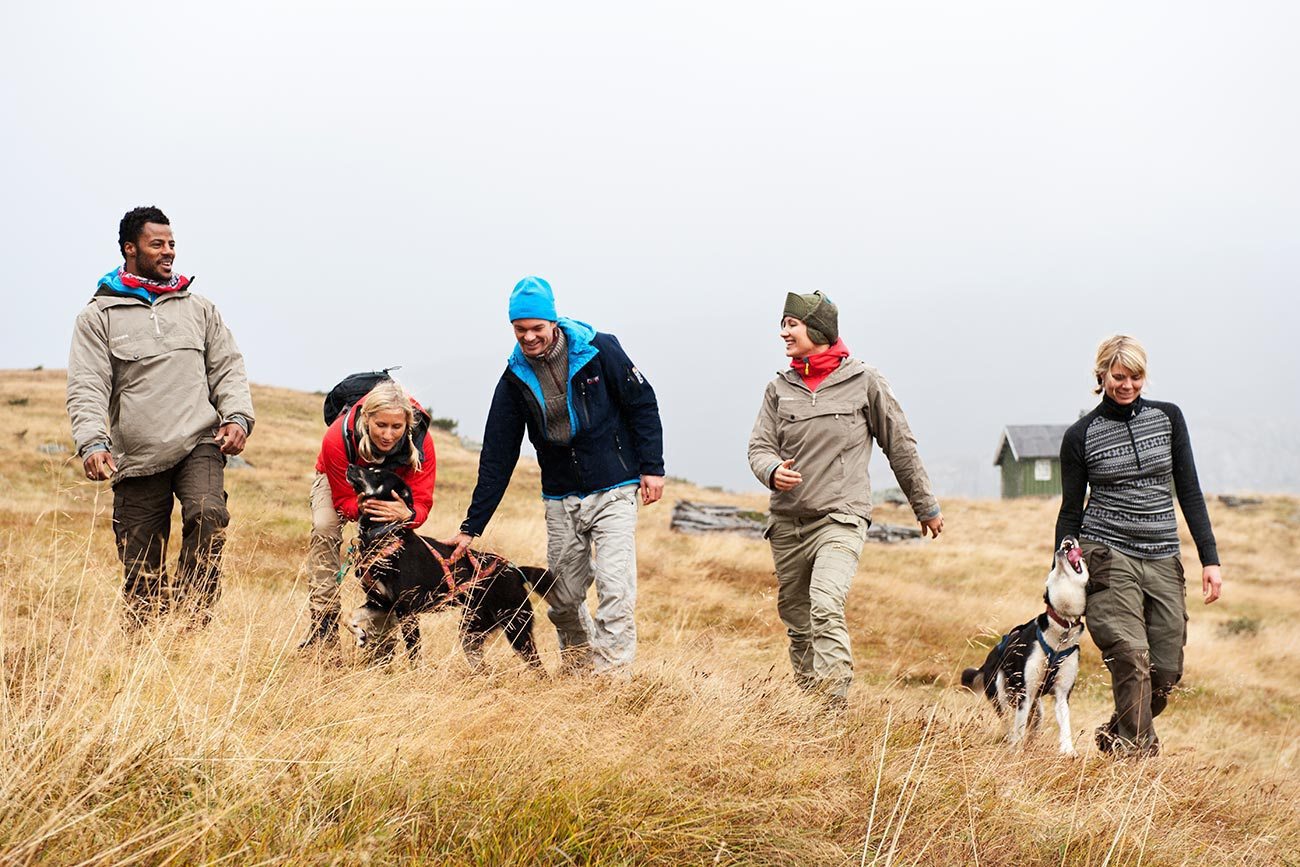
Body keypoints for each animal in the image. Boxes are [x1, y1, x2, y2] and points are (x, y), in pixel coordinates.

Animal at [343, 465, 551, 670]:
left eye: (377, 474)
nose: (351, 466)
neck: (384, 535)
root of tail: (515, 571)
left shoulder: (407, 611)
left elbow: (414, 654)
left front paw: (417, 674)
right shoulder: (382, 603)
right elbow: (348, 616)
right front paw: (360, 634)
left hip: (516, 628)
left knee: (538, 668)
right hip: (471, 632)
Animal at [961, 538, 1092, 753]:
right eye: (1052, 568)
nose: (1069, 537)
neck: (1062, 627)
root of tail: (988, 659)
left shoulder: (1062, 694)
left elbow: (1065, 725)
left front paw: (1068, 751)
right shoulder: (1026, 692)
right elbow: (1019, 728)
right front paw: (1016, 751)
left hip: (1037, 709)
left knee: (1031, 726)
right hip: (1002, 693)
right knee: (1008, 722)